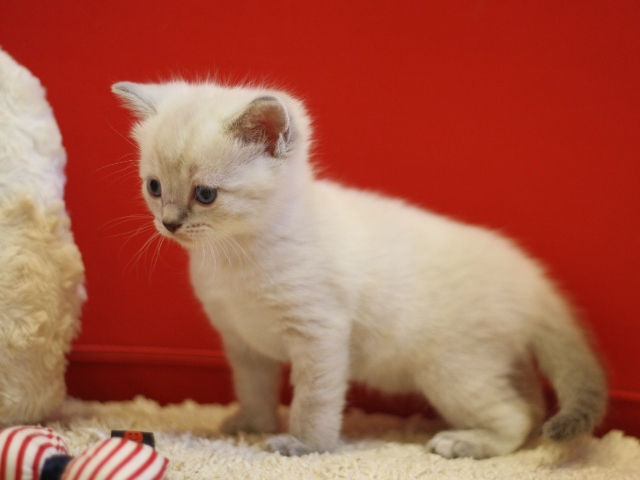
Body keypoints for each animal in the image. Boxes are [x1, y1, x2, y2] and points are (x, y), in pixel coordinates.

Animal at [112, 80, 608, 460]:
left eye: (206, 195)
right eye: (154, 187)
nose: (169, 223)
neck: (232, 258)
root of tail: (533, 280)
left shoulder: (319, 335)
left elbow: (313, 402)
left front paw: (300, 445)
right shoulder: (243, 344)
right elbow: (253, 390)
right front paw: (250, 425)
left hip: (451, 371)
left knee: (517, 417)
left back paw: (460, 444)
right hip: (493, 364)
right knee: (533, 405)